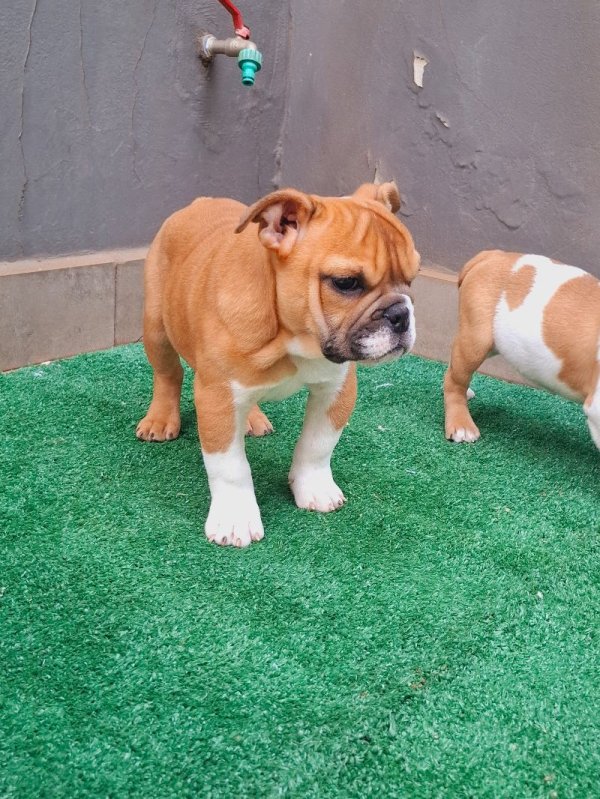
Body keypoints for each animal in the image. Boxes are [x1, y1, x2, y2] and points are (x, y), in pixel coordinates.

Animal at [136, 182, 420, 546]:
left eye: (411, 280)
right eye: (346, 283)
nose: (401, 314)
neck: (289, 338)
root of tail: (199, 203)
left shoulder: (336, 389)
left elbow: (318, 445)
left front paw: (314, 488)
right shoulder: (218, 398)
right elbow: (229, 466)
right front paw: (235, 518)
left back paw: (252, 419)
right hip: (157, 327)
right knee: (167, 374)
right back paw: (159, 419)